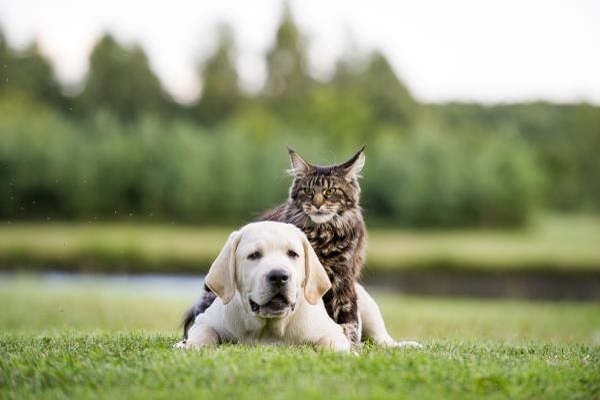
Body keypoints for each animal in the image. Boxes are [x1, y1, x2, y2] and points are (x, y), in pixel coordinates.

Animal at [183, 148, 368, 346]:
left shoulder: (343, 279)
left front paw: (352, 344)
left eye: (330, 191)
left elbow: (348, 320)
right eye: (308, 191)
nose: (317, 204)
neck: (323, 235)